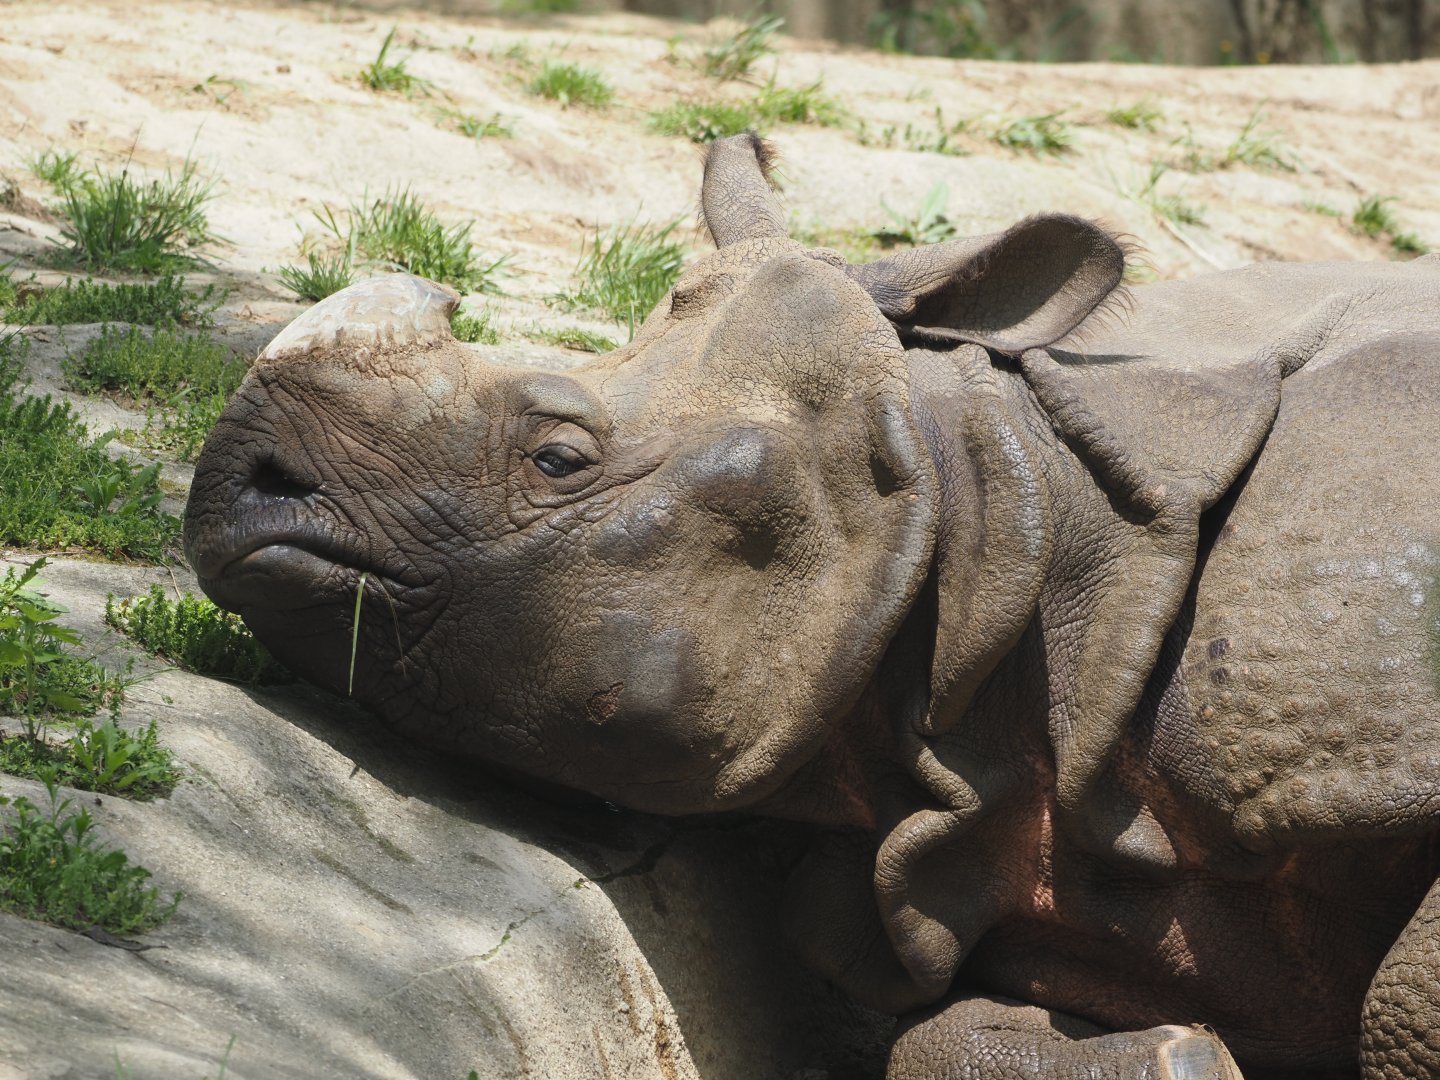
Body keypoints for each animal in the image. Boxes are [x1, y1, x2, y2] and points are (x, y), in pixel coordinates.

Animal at [184, 134, 1440, 1079]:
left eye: (556, 458)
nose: (235, 487)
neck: (996, 515)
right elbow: (951, 1035)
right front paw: (1177, 1053)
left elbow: (1398, 1008)